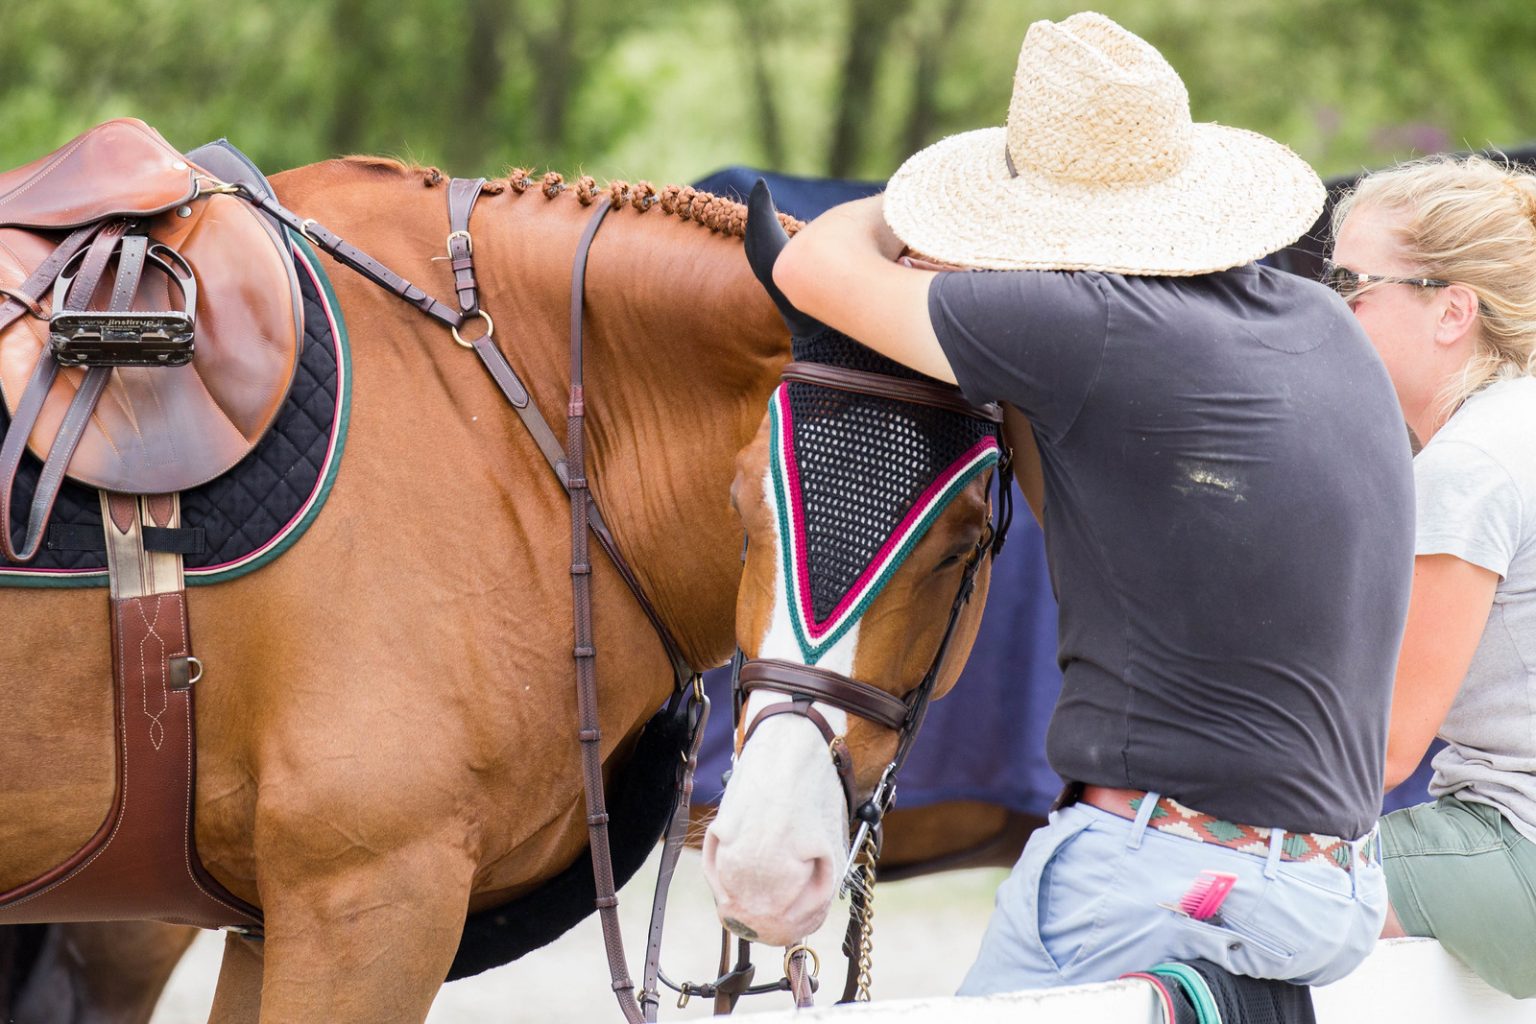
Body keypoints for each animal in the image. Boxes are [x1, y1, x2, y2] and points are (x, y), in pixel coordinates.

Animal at [0, 156, 1002, 1022]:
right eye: (742, 506)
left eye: (964, 548)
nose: (766, 862)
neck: (502, 416)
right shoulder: (365, 905)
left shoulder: (272, 923)